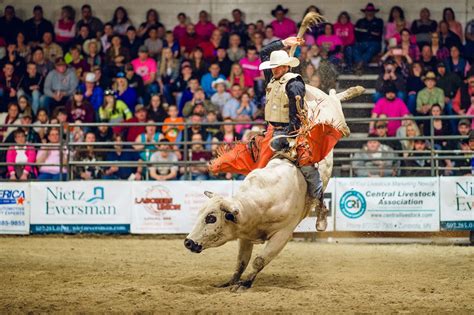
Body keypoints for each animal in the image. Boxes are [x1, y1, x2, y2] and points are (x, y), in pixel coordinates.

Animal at [184, 84, 362, 292]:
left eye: (211, 218)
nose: (188, 242)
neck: (260, 202)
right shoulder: (245, 235)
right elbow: (241, 261)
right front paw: (231, 281)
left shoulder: (283, 234)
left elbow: (259, 260)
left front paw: (245, 284)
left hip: (336, 117)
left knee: (335, 99)